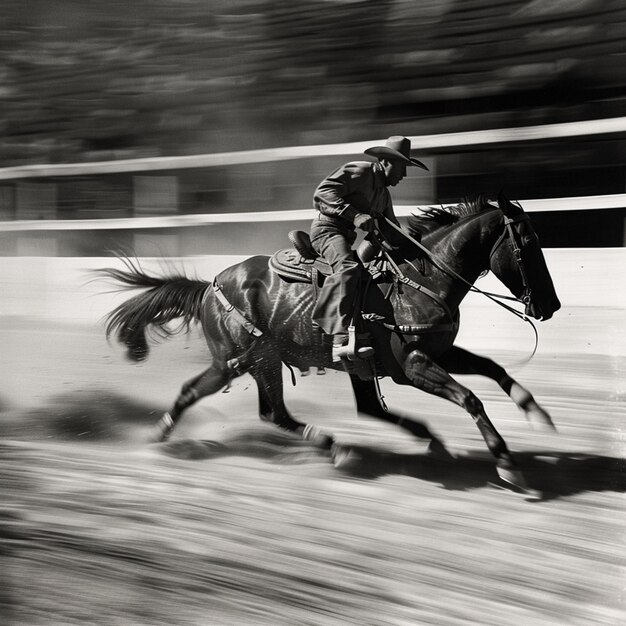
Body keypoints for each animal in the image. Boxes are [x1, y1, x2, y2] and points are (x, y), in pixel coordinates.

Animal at [100, 193, 560, 494]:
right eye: (527, 245)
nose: (551, 305)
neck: (422, 277)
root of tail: (208, 287)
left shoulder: (438, 352)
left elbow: (494, 370)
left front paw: (538, 414)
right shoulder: (413, 366)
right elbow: (470, 399)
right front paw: (508, 465)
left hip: (283, 363)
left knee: (323, 409)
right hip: (248, 360)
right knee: (250, 406)